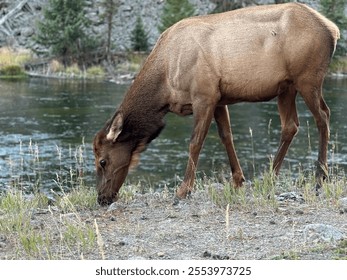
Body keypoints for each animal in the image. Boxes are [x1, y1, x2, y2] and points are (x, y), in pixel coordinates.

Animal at [93, 2, 340, 206]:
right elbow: (226, 137)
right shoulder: (220, 100)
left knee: (323, 116)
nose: (102, 198)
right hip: (286, 87)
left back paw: (320, 177)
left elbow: (195, 142)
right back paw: (270, 176)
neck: (164, 85)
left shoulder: (204, 95)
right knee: (291, 125)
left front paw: (183, 190)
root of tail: (333, 30)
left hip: (308, 79)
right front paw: (238, 180)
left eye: (103, 161)